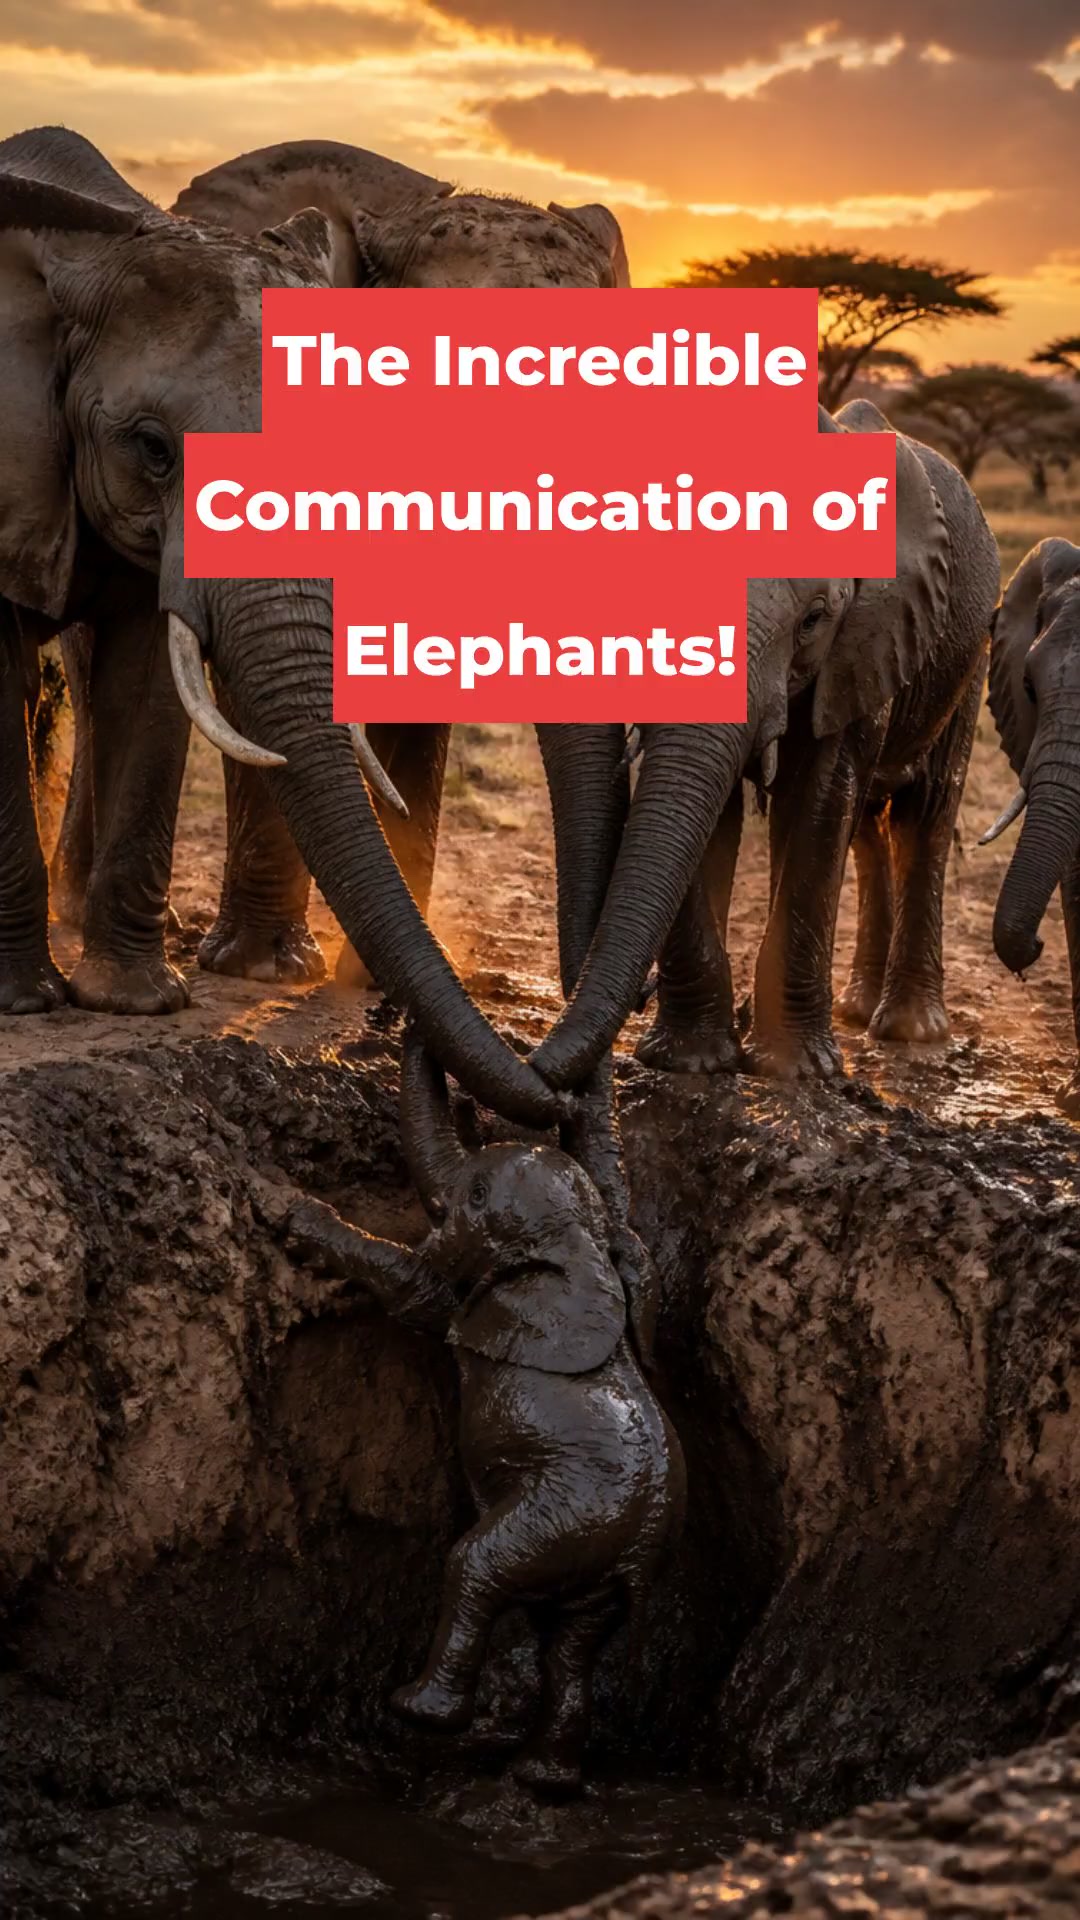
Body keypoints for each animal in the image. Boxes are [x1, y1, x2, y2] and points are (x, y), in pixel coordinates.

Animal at [286, 1029, 684, 1796]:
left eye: (475, 1193)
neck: (579, 1247)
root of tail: (640, 1551)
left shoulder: (479, 1303)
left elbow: (416, 1287)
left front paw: (292, 1213)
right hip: (593, 1557)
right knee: (570, 1649)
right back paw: (543, 1779)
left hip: (566, 1513)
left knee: (478, 1564)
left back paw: (419, 1711)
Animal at [522, 400, 1000, 1087]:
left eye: (814, 619)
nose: (638, 994)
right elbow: (706, 813)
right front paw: (691, 1062)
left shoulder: (868, 637)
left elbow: (819, 799)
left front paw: (795, 1072)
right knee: (869, 827)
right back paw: (857, 1012)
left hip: (970, 654)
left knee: (923, 816)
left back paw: (908, 1030)